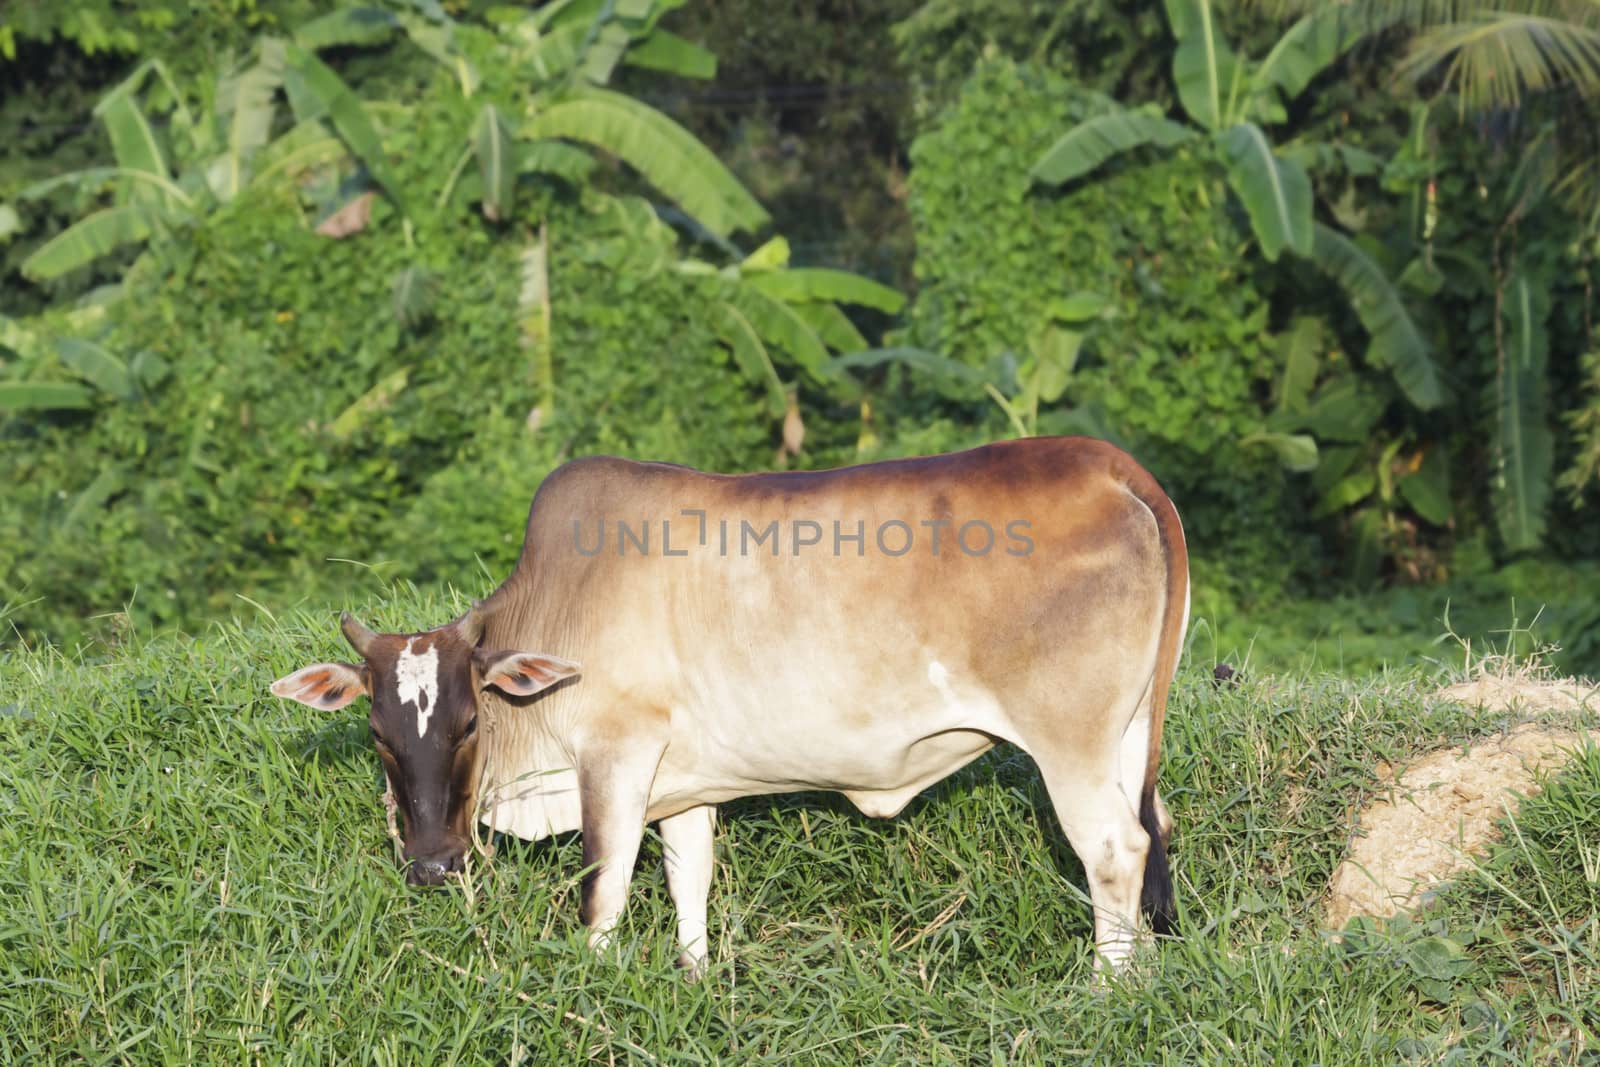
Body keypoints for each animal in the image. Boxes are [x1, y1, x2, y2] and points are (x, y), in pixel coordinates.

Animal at [268, 435, 1190, 979]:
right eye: (378, 734)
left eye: (466, 723)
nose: (430, 863)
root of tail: (1107, 460)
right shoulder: (685, 787)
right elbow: (691, 885)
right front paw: (695, 980)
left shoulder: (616, 757)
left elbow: (602, 893)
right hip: (1127, 736)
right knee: (1155, 836)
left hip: (1070, 742)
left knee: (1115, 850)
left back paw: (1106, 991)